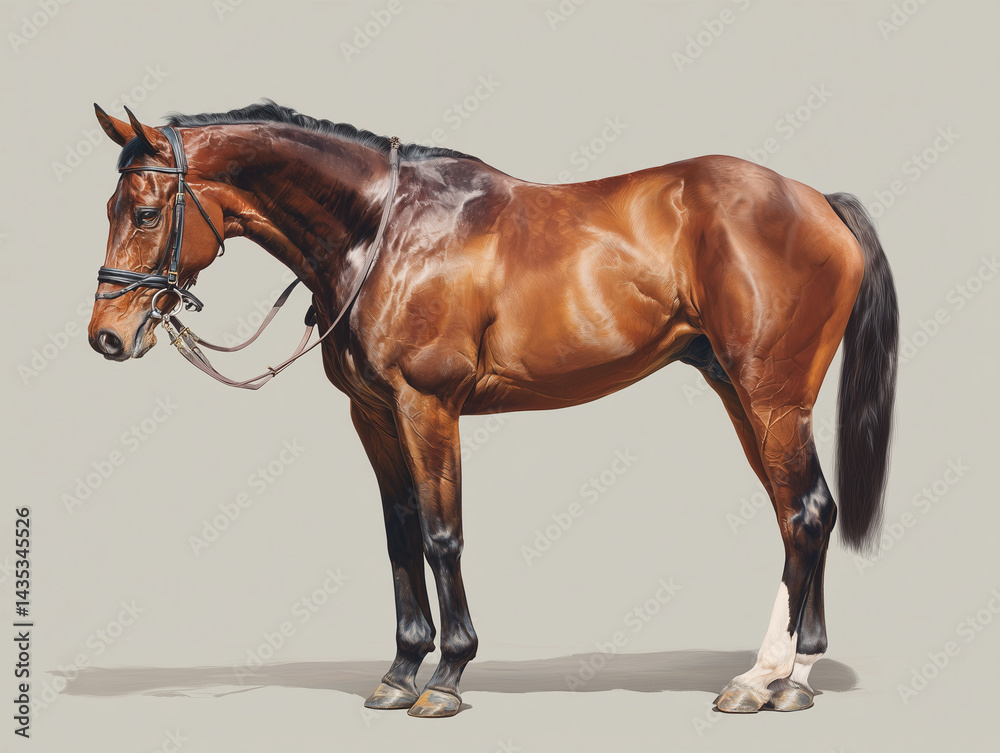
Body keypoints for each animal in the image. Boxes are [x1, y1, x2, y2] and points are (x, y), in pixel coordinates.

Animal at [88, 101, 898, 718]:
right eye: (112, 207)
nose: (108, 335)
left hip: (770, 396)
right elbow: (399, 534)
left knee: (803, 513)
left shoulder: (427, 406)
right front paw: (398, 671)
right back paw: (794, 677)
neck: (384, 234)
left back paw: (761, 680)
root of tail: (817, 200)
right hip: (740, 393)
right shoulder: (373, 415)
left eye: (148, 211)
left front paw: (446, 677)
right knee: (804, 514)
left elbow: (441, 534)